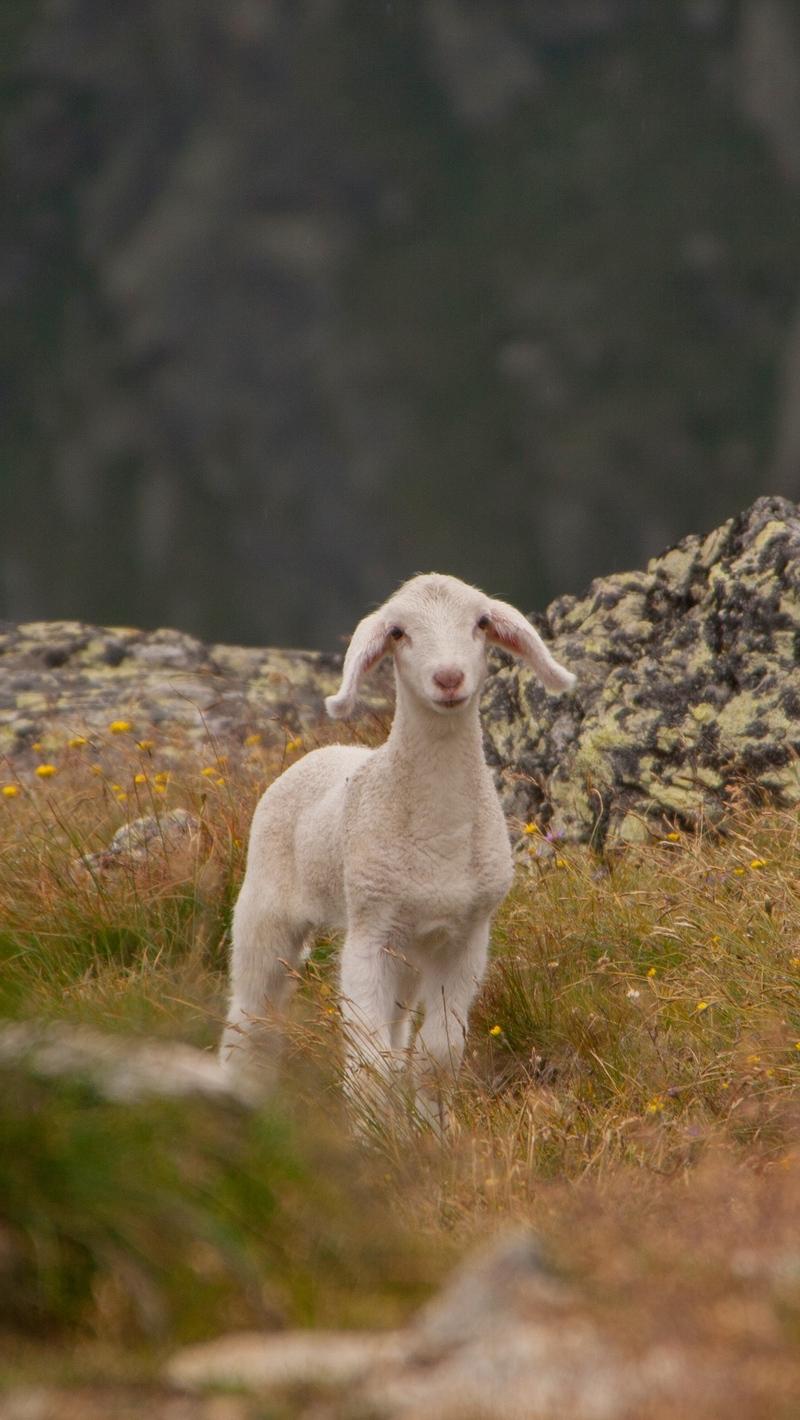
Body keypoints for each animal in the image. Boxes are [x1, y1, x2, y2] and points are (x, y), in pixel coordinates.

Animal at [220, 570, 576, 1124]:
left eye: (481, 622)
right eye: (397, 633)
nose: (449, 678)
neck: (440, 834)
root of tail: (322, 751)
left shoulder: (466, 936)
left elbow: (438, 1055)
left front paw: (431, 1129)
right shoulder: (369, 933)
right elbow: (370, 1064)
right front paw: (375, 1134)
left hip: (409, 951)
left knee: (395, 1028)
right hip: (266, 909)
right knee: (251, 1015)